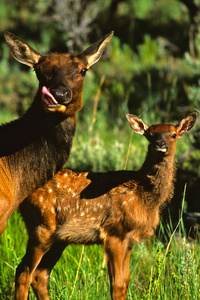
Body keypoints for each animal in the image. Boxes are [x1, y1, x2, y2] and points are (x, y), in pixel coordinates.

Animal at [15, 113, 197, 300]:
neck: (144, 196)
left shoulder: (129, 240)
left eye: (174, 134)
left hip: (59, 237)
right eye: (150, 135)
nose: (160, 144)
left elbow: (126, 280)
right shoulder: (114, 232)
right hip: (42, 225)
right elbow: (117, 284)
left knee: (39, 275)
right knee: (23, 272)